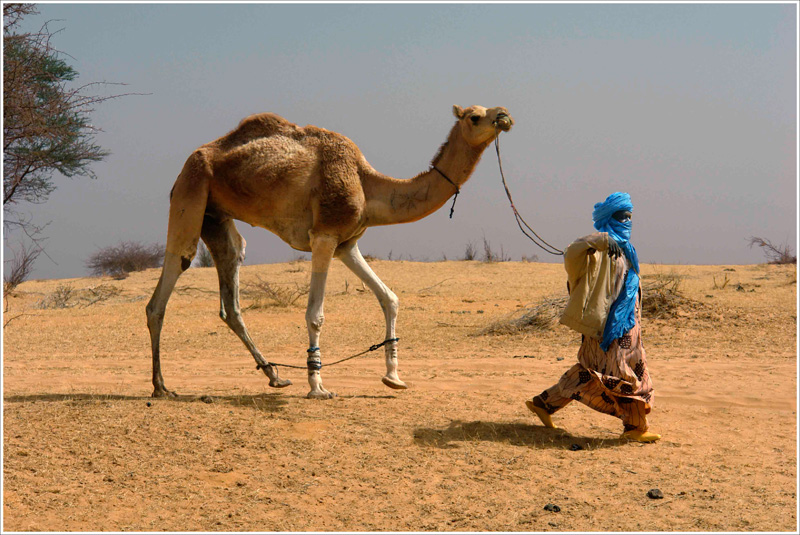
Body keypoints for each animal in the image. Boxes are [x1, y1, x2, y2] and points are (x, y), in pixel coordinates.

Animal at [146, 104, 514, 399]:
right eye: (474, 116)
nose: (505, 115)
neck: (366, 183)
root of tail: (191, 159)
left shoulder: (346, 244)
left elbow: (389, 298)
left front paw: (393, 377)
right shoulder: (323, 236)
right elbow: (315, 314)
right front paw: (318, 386)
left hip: (216, 217)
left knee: (232, 285)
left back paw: (275, 376)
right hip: (191, 191)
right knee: (168, 281)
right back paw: (161, 386)